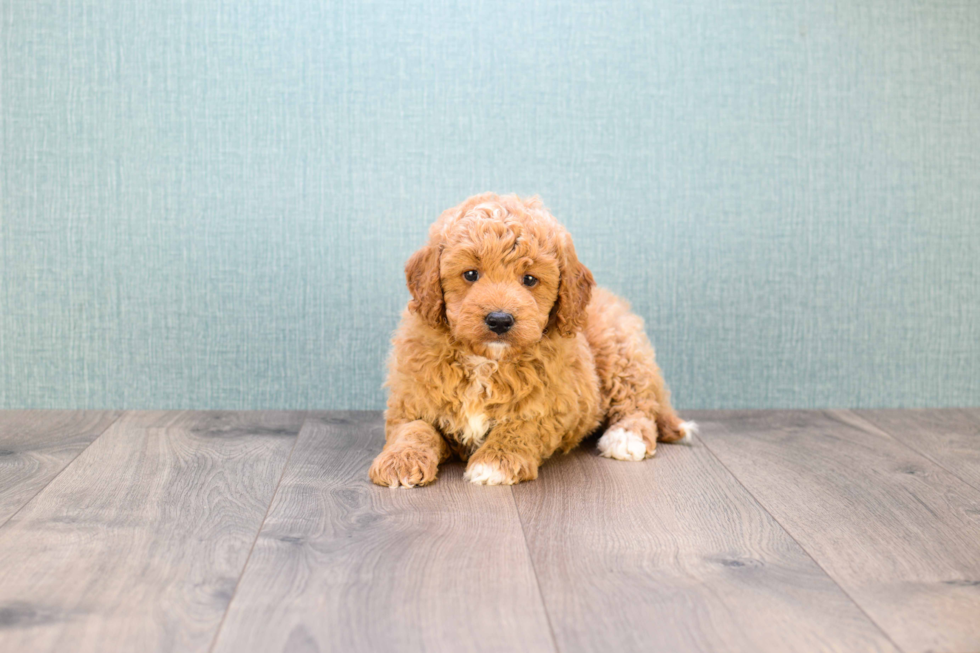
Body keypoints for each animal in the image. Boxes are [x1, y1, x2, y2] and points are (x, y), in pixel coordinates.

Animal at [370, 191, 696, 486]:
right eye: (471, 274)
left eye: (529, 279)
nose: (499, 320)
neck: (486, 361)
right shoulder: (411, 399)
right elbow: (414, 428)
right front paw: (400, 460)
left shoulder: (556, 404)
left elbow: (520, 428)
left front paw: (494, 462)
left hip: (619, 349)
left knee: (639, 402)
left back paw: (626, 437)